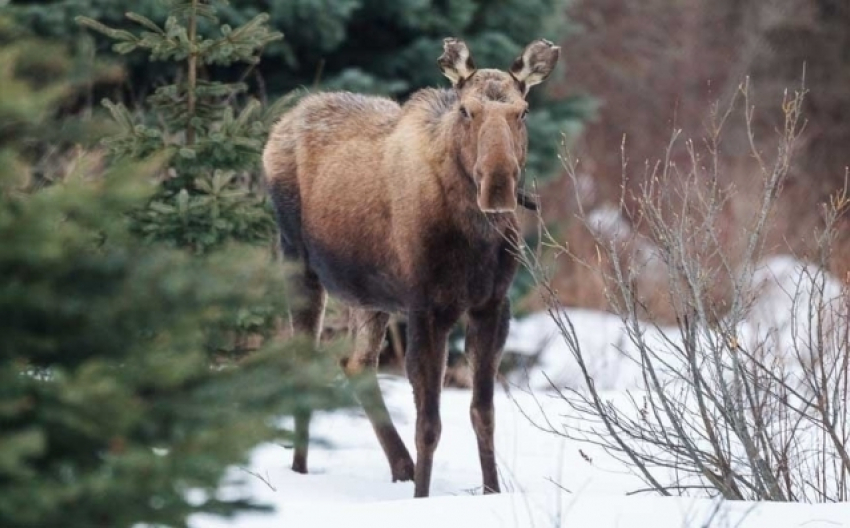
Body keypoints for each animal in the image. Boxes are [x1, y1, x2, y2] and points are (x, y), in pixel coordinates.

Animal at [262, 38, 560, 500]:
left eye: (522, 111)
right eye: (466, 110)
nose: (498, 186)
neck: (475, 238)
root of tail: (283, 123)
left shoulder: (492, 304)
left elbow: (483, 414)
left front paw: (491, 491)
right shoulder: (427, 308)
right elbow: (429, 426)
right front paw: (422, 497)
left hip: (367, 295)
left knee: (355, 363)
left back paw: (400, 466)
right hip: (298, 262)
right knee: (303, 365)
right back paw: (301, 470)